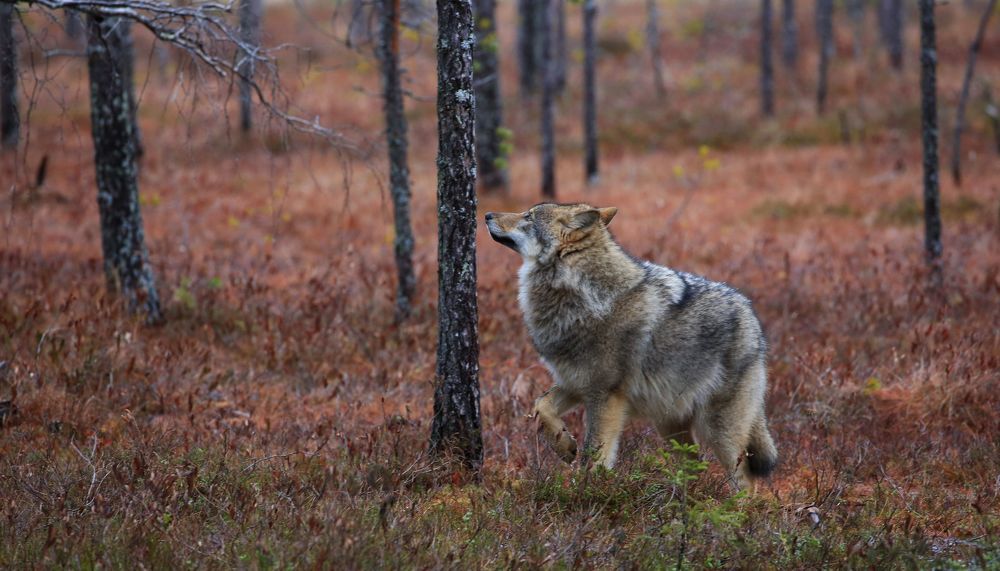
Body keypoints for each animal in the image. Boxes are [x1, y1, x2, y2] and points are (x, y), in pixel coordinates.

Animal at [485, 203, 778, 488]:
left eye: (528, 216)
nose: (486, 214)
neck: (584, 294)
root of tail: (752, 317)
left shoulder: (605, 395)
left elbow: (594, 455)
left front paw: (587, 492)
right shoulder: (576, 383)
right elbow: (541, 405)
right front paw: (564, 446)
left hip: (719, 430)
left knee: (745, 478)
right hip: (670, 425)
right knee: (695, 466)